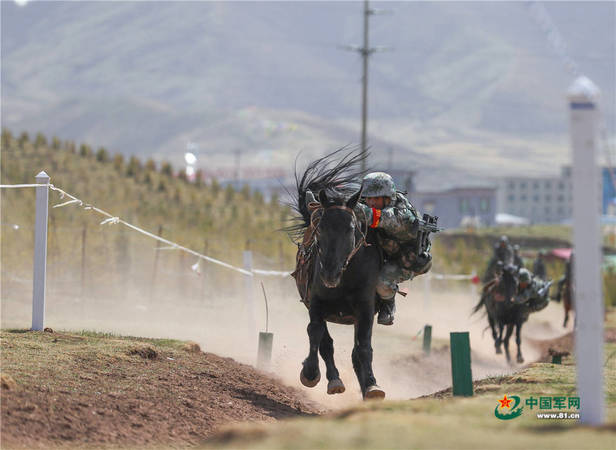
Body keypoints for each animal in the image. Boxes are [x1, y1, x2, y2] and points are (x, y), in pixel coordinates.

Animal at [288, 149, 384, 400]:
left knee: (355, 351)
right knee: (324, 340)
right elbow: (317, 334)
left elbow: (364, 348)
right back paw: (333, 379)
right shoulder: (315, 302)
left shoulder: (365, 308)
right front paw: (311, 373)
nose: (329, 273)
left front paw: (372, 386)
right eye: (321, 227)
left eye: (350, 228)